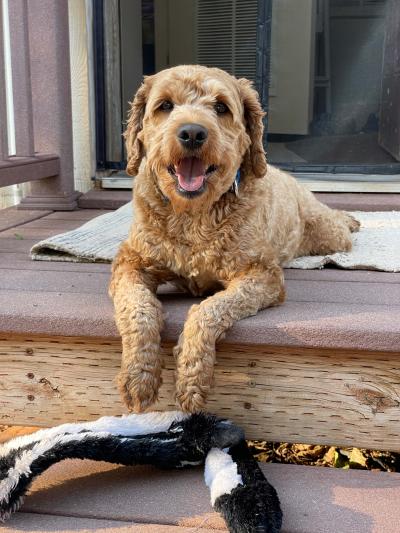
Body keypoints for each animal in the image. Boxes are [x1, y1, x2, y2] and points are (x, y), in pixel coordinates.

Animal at [109, 65, 360, 412]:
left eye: (220, 107)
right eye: (165, 105)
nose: (192, 133)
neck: (193, 216)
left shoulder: (262, 275)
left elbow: (207, 310)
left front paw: (192, 377)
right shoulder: (131, 262)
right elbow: (138, 308)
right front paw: (139, 376)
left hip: (326, 232)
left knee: (338, 225)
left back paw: (350, 220)